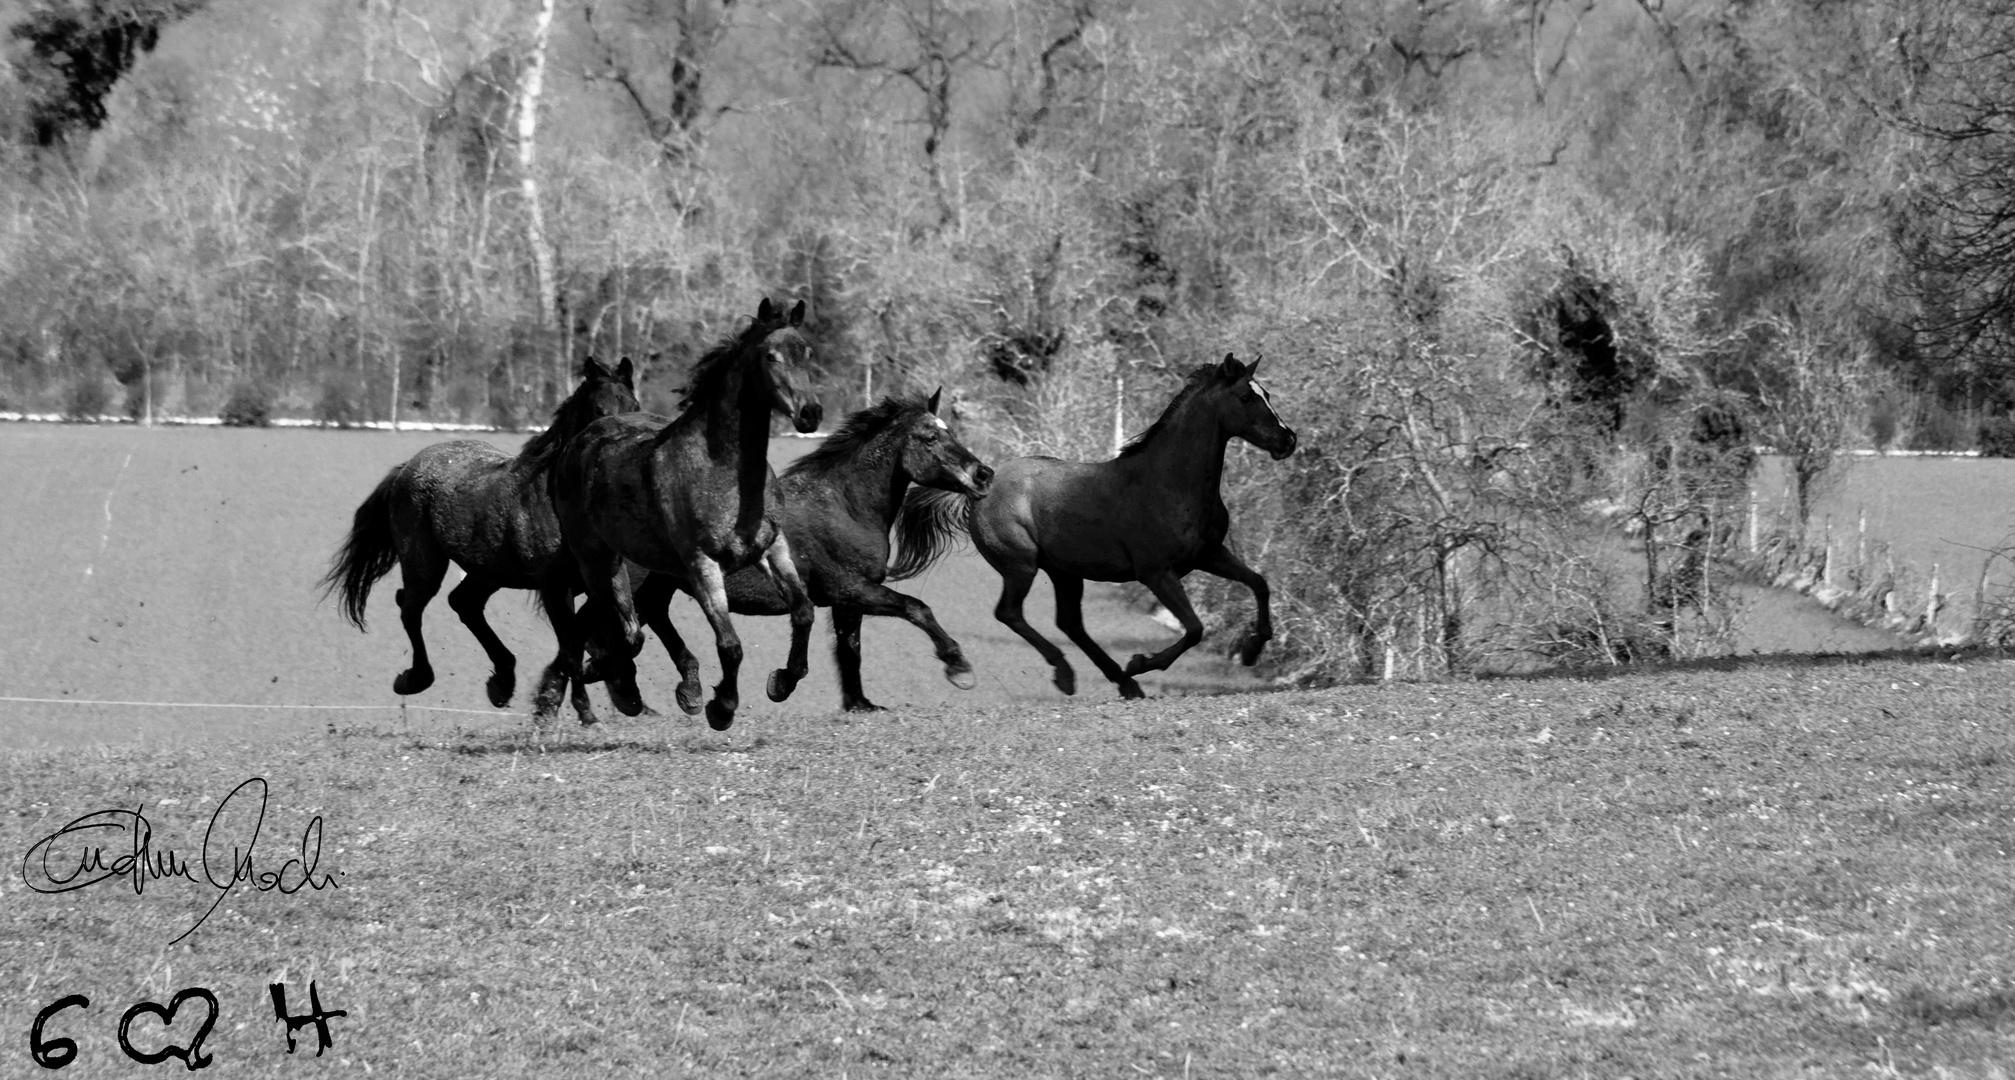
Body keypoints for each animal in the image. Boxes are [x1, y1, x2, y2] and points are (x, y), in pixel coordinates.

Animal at [320, 356, 636, 725]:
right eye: (600, 410)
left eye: (634, 406)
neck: (555, 499)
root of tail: (406, 468)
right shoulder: (554, 585)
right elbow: (572, 645)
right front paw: (586, 712)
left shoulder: (606, 577)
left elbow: (626, 633)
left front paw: (621, 689)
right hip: (425, 564)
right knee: (411, 607)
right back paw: (414, 679)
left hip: (488, 571)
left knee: (463, 603)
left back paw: (502, 681)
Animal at [548, 300, 822, 729]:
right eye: (770, 356)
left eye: (806, 354)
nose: (810, 414)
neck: (722, 470)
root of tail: (580, 441)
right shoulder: (702, 563)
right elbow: (730, 644)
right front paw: (721, 707)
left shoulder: (772, 549)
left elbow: (804, 611)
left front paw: (782, 682)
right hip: (595, 559)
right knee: (609, 623)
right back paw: (616, 689)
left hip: (643, 565)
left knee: (625, 623)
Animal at [632, 392, 995, 713]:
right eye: (930, 436)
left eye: (953, 432)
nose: (984, 475)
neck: (845, 507)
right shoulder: (850, 589)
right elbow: (916, 608)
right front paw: (958, 666)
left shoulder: (847, 602)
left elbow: (851, 648)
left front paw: (859, 705)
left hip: (660, 585)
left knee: (648, 617)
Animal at [894, 354, 1289, 701]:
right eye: (1246, 397)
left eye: (1267, 394)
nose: (1289, 440)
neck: (1169, 483)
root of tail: (977, 489)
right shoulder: (1157, 573)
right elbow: (1194, 629)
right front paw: (1141, 662)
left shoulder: (1209, 554)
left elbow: (1259, 583)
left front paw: (1252, 650)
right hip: (1021, 565)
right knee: (1010, 613)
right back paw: (1070, 675)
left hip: (1064, 572)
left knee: (1070, 623)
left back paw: (1123, 683)